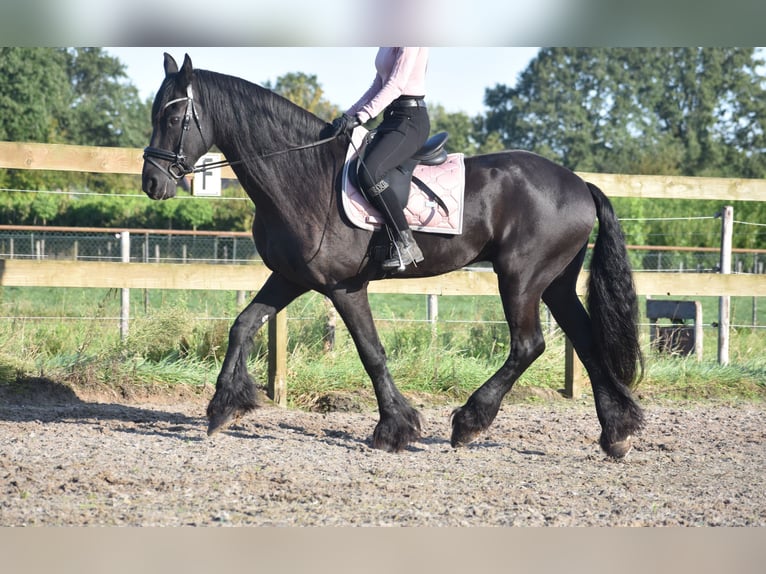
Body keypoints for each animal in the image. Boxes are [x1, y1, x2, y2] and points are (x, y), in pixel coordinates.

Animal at [141, 54, 644, 460]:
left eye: (175, 114)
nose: (152, 182)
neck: (301, 173)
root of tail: (579, 183)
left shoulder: (344, 287)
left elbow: (372, 353)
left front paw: (394, 429)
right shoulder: (291, 277)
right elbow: (243, 325)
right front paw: (223, 408)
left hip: (521, 277)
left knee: (528, 345)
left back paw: (469, 423)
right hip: (555, 282)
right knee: (586, 340)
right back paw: (616, 432)